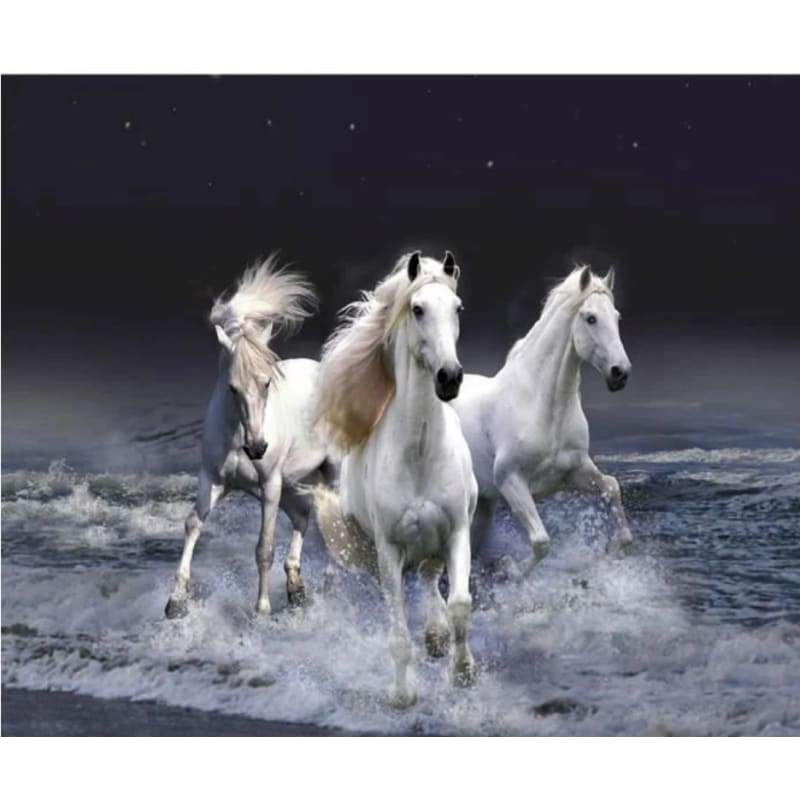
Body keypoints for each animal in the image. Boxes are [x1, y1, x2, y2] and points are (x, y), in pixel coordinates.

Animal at [165, 255, 337, 619]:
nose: (257, 448)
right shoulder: (213, 479)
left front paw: (261, 610)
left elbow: (264, 548)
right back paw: (296, 588)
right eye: (232, 388)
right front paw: (175, 602)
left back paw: (328, 583)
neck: (236, 435)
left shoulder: (269, 485)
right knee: (303, 516)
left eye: (267, 382)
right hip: (293, 483)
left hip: (328, 475)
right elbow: (192, 524)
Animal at [307, 251, 478, 708]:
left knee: (431, 579)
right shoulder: (389, 550)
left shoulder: (457, 531)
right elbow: (398, 635)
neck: (419, 454)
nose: (449, 377)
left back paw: (437, 637)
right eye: (417, 309)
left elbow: (460, 604)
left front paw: (463, 673)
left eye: (458, 309)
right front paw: (403, 695)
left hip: (435, 542)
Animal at [452, 264, 633, 576]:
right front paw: (511, 569)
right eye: (591, 318)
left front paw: (612, 550)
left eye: (617, 316)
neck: (543, 407)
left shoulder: (574, 471)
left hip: (483, 504)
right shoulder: (510, 480)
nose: (620, 373)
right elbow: (541, 541)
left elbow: (611, 487)